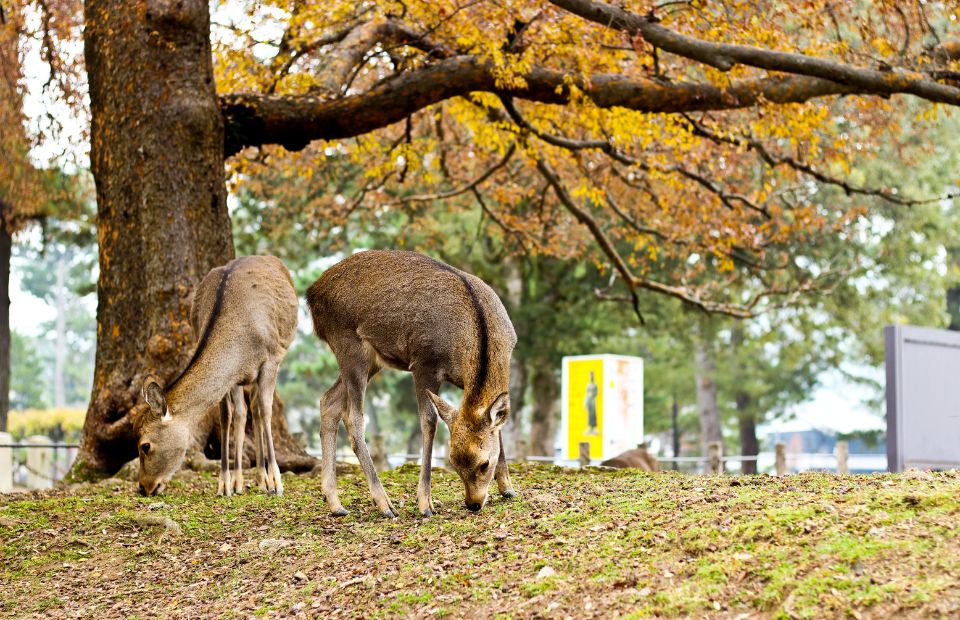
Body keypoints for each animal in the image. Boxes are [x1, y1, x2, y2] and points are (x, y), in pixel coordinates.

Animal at [135, 255, 298, 497]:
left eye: (145, 445)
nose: (143, 487)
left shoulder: (271, 360)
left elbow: (266, 411)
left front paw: (277, 483)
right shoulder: (231, 377)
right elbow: (227, 416)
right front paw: (225, 484)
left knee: (258, 409)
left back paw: (265, 479)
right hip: (243, 379)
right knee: (245, 411)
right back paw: (250, 480)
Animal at [306, 250, 518, 518]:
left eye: (484, 463)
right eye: (452, 460)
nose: (473, 503)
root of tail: (311, 293)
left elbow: (496, 424)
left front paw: (507, 488)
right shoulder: (424, 364)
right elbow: (428, 422)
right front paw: (425, 503)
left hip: (372, 360)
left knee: (328, 401)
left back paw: (335, 503)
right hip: (349, 346)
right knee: (353, 418)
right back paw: (384, 503)